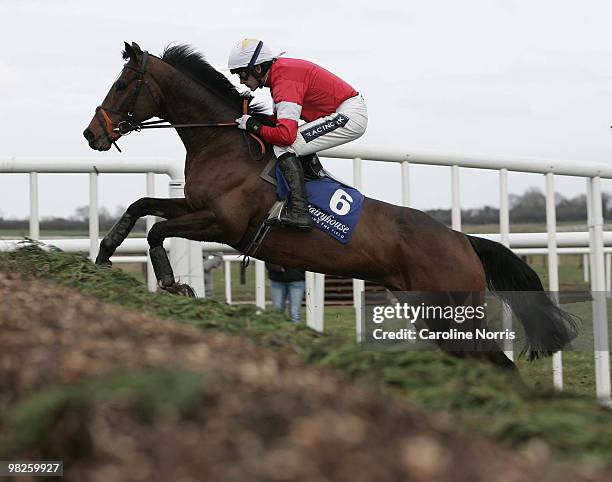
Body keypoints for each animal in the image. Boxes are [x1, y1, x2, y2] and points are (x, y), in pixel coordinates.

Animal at [83, 43, 576, 368]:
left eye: (122, 85)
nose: (92, 133)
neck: (225, 143)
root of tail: (464, 240)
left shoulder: (224, 224)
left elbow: (157, 230)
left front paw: (172, 284)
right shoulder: (192, 203)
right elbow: (140, 206)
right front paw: (104, 254)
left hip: (453, 316)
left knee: (498, 366)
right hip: (434, 316)